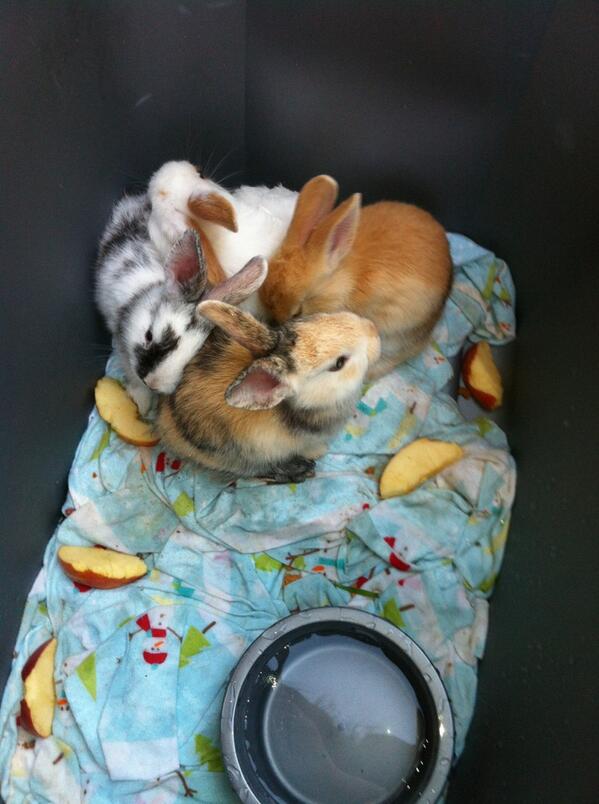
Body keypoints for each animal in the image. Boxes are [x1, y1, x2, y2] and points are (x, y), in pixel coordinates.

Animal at [95, 198, 267, 416]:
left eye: (189, 360)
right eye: (148, 336)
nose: (153, 383)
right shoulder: (120, 341)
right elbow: (130, 372)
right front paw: (142, 402)